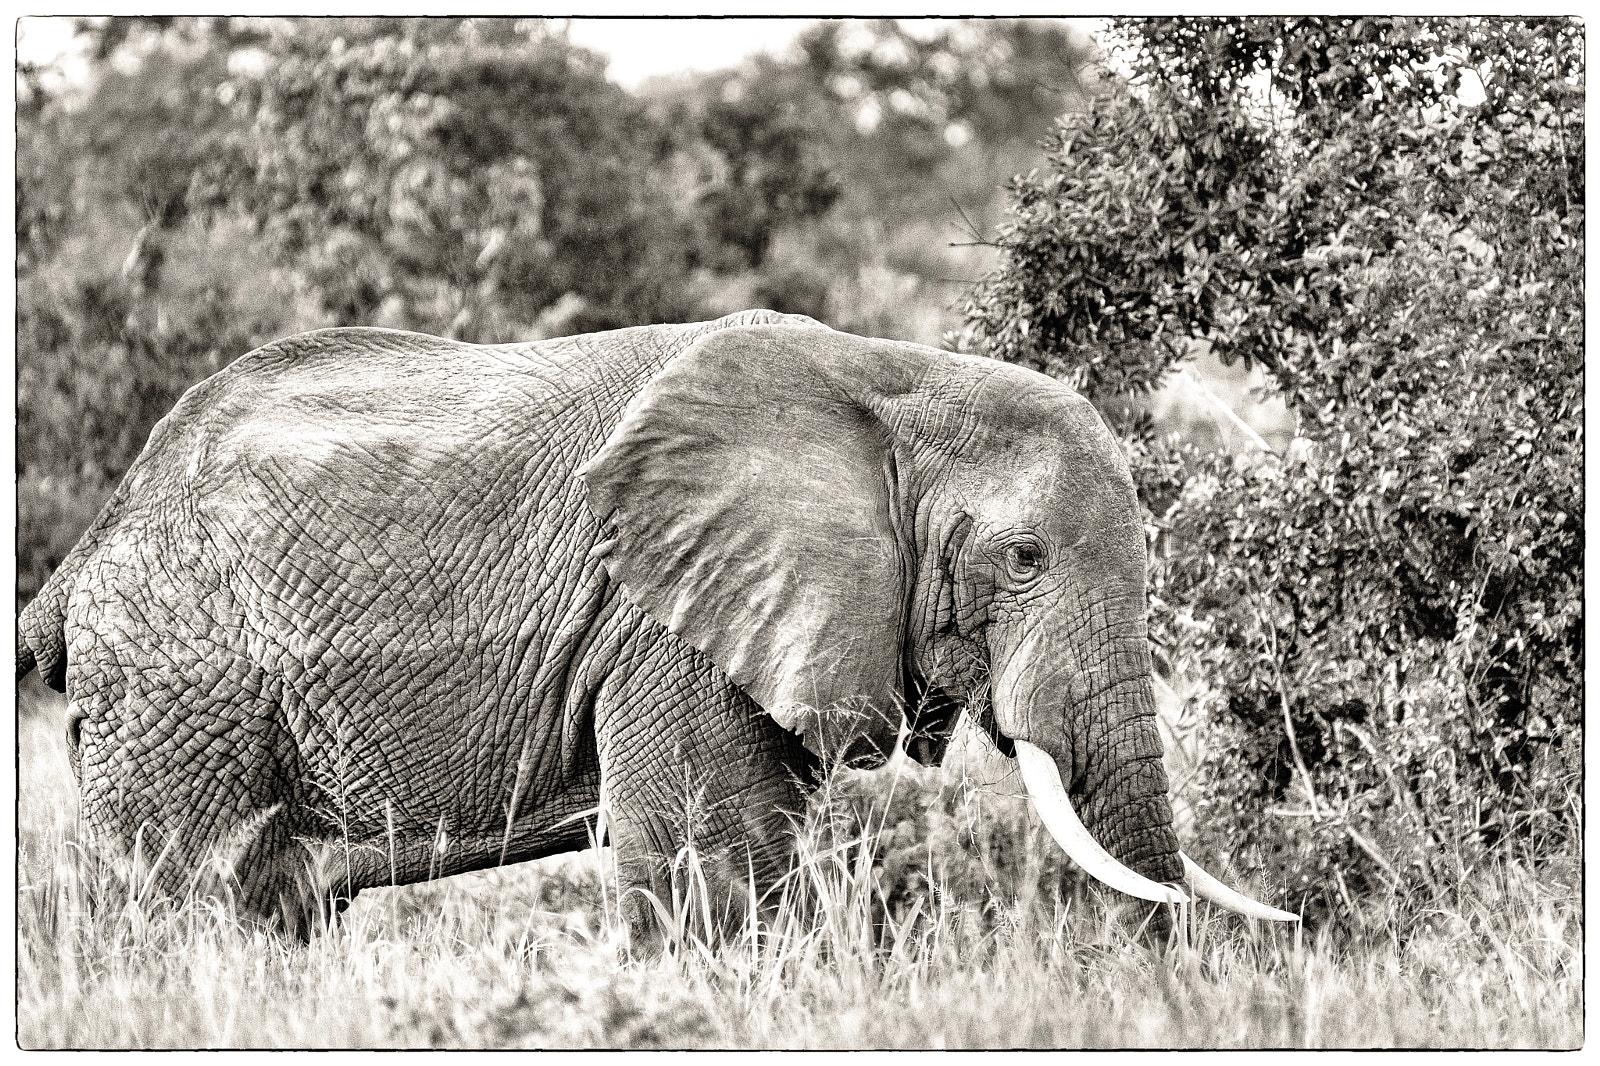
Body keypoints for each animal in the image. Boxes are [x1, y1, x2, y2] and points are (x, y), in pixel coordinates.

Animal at [17, 308, 1295, 941]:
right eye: (1022, 559)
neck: (894, 380)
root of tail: (79, 562)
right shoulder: (660, 620)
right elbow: (705, 862)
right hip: (186, 685)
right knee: (202, 899)